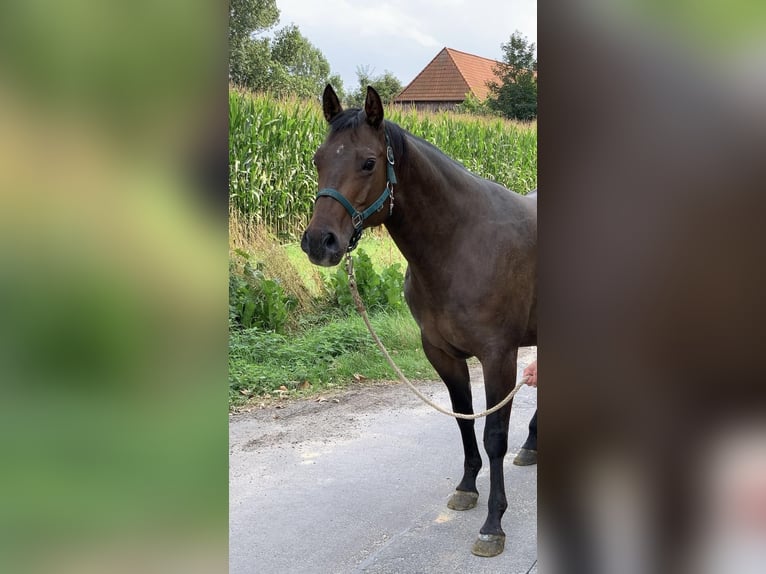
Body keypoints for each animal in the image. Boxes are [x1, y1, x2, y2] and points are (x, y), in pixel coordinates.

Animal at [302, 84, 540, 560]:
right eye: (318, 158)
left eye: (368, 162)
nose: (320, 242)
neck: (461, 242)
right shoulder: (441, 353)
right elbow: (463, 418)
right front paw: (467, 488)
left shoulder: (498, 356)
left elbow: (494, 435)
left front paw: (493, 524)